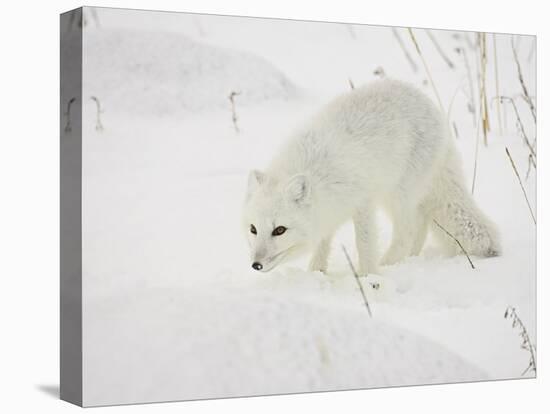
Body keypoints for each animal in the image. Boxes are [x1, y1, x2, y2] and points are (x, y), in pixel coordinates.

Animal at [244, 80, 502, 274]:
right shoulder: (328, 211)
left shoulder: (363, 203)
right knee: (420, 224)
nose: (256, 265)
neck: (316, 170)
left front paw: (368, 277)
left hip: (397, 194)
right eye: (253, 229)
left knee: (408, 231)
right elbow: (323, 244)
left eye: (280, 230)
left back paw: (389, 265)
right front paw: (316, 273)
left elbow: (365, 244)